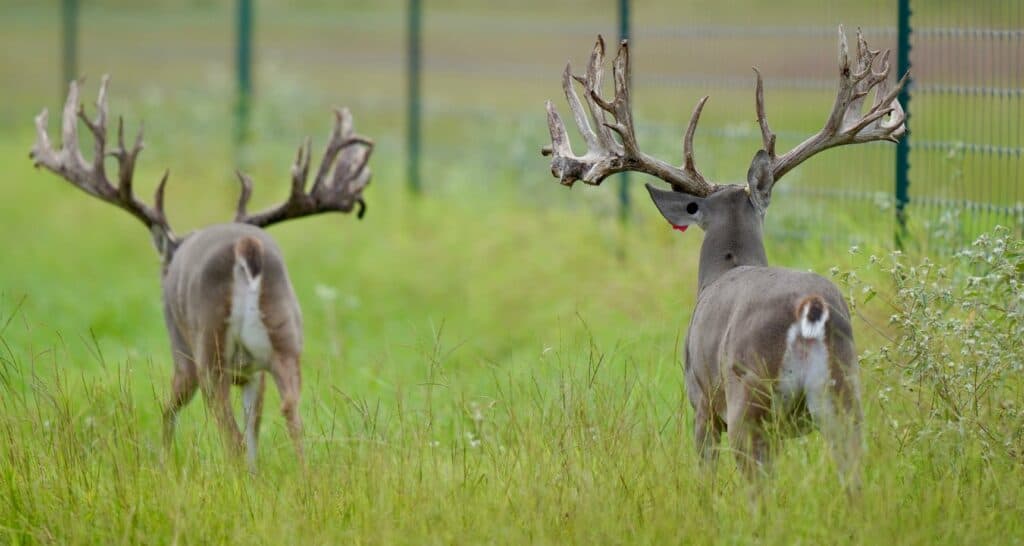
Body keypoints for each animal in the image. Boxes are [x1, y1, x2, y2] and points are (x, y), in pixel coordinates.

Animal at [29, 76, 374, 471]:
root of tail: (245, 246)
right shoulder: (253, 372)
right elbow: (255, 427)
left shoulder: (182, 350)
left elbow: (170, 410)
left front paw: (163, 462)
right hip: (286, 338)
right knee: (291, 417)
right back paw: (302, 477)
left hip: (208, 347)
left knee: (228, 433)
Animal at [542, 27, 906, 489]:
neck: (725, 268)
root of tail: (811, 311)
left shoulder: (699, 397)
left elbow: (705, 472)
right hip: (844, 393)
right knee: (852, 474)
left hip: (747, 397)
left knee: (757, 484)